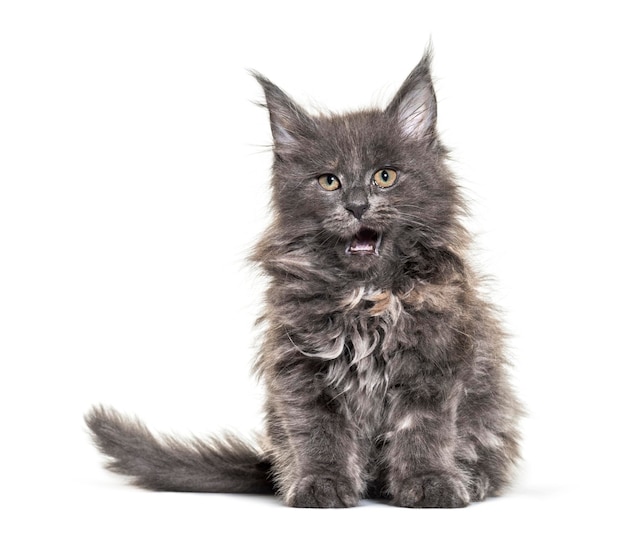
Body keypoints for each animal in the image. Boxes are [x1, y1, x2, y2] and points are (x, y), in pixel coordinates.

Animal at [85, 48, 520, 508]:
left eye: (385, 176)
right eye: (329, 181)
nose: (356, 205)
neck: (367, 296)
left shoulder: (435, 363)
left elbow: (424, 430)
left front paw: (430, 482)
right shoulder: (300, 367)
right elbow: (318, 434)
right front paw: (320, 484)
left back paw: (474, 479)